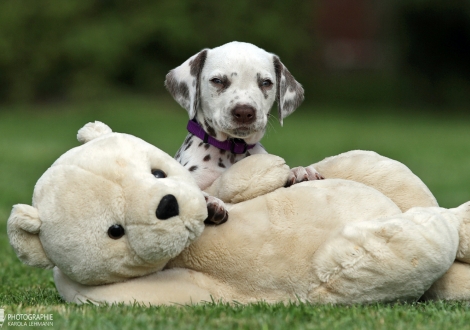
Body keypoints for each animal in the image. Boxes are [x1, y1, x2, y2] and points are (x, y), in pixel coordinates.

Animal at [165, 40, 324, 222]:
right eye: (217, 80)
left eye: (266, 83)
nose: (244, 112)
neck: (232, 150)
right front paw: (209, 201)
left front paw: (300, 171)